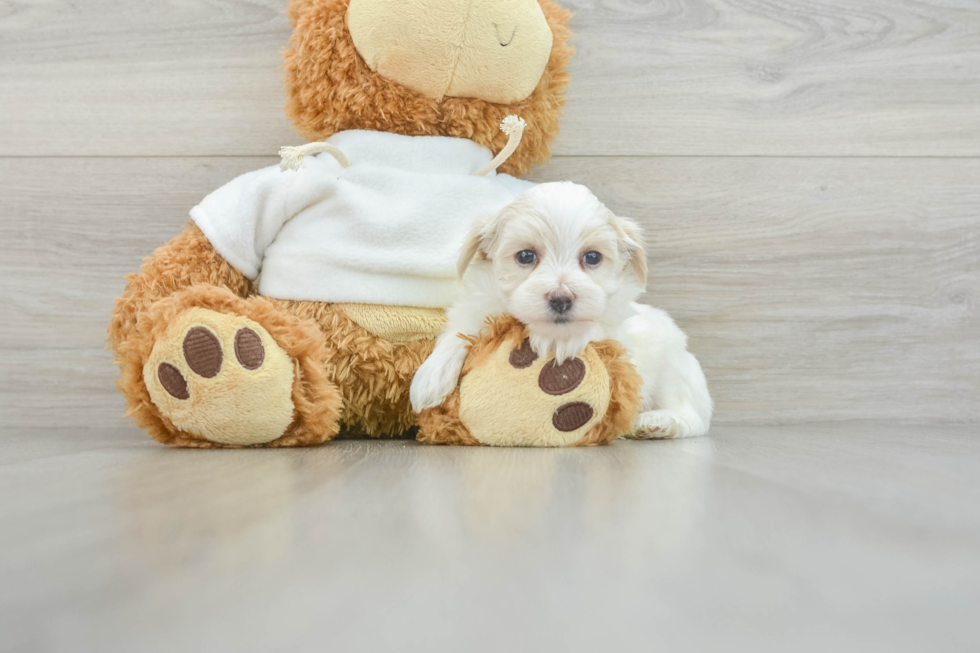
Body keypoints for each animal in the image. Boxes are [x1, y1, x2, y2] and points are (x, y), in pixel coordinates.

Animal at [408, 180, 712, 438]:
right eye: (526, 256)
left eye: (592, 257)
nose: (561, 298)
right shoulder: (477, 307)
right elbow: (460, 332)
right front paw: (429, 379)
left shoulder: (616, 328)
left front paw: (559, 341)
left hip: (673, 368)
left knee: (693, 417)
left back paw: (657, 422)